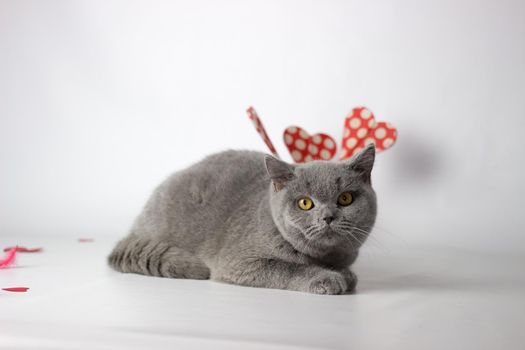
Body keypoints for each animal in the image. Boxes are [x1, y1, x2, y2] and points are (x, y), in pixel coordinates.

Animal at [108, 144, 374, 294]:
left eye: (346, 199)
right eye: (305, 203)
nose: (328, 216)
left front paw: (346, 274)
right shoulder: (240, 263)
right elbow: (289, 268)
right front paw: (328, 277)